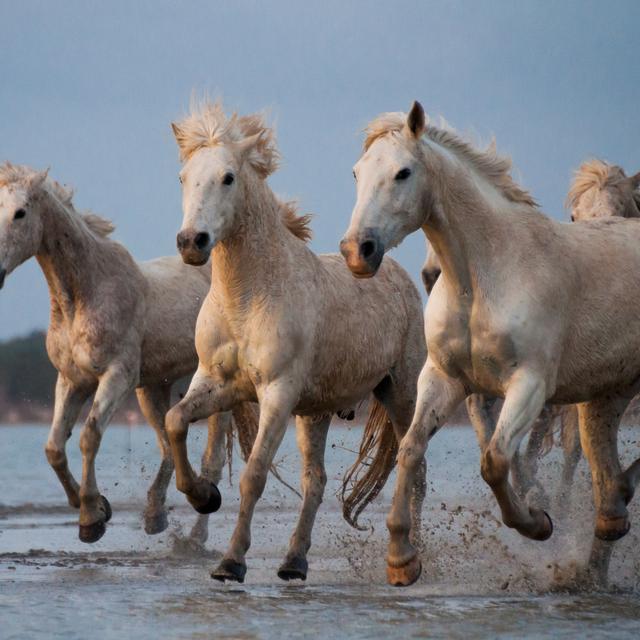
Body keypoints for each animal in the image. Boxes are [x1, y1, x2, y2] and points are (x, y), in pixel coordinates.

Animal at [0, 163, 258, 544]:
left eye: (20, 213)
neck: (86, 294)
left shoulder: (115, 377)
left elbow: (89, 436)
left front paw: (91, 518)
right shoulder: (72, 380)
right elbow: (54, 447)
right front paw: (95, 505)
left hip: (211, 389)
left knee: (209, 459)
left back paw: (197, 528)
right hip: (152, 388)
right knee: (168, 445)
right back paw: (155, 515)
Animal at [164, 100, 427, 584]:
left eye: (228, 177)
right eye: (183, 176)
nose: (192, 242)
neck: (248, 296)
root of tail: (400, 277)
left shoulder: (277, 394)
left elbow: (253, 476)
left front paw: (231, 563)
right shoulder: (217, 383)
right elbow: (175, 420)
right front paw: (204, 495)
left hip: (402, 394)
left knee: (414, 472)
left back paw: (411, 558)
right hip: (316, 413)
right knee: (316, 481)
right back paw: (294, 562)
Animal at [341, 101, 640, 587]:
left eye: (403, 172)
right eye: (357, 172)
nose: (357, 251)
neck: (481, 279)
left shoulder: (530, 386)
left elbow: (495, 460)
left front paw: (538, 523)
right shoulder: (444, 379)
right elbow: (411, 448)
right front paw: (402, 560)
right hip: (607, 393)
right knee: (606, 473)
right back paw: (609, 523)